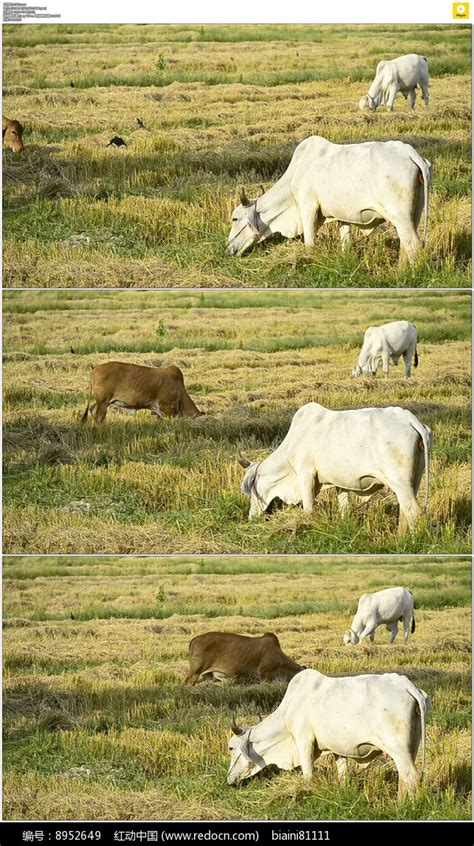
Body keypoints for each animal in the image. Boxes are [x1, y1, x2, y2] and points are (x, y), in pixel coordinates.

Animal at [226, 668, 430, 800]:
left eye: (231, 748)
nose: (228, 779)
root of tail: (403, 683)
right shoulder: (337, 750)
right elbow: (342, 776)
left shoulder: (304, 742)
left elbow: (308, 775)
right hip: (412, 745)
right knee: (404, 778)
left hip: (398, 748)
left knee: (412, 776)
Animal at [227, 134, 434, 266]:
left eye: (235, 218)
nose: (228, 249)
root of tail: (409, 152)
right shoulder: (343, 217)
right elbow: (346, 242)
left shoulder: (308, 207)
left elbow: (309, 242)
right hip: (415, 213)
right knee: (405, 246)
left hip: (400, 216)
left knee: (414, 245)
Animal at [239, 402, 432, 532]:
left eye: (252, 490)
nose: (251, 517)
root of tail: (408, 418)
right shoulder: (341, 483)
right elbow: (344, 508)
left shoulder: (306, 476)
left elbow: (308, 509)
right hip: (414, 480)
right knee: (404, 513)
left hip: (400, 482)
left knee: (413, 512)